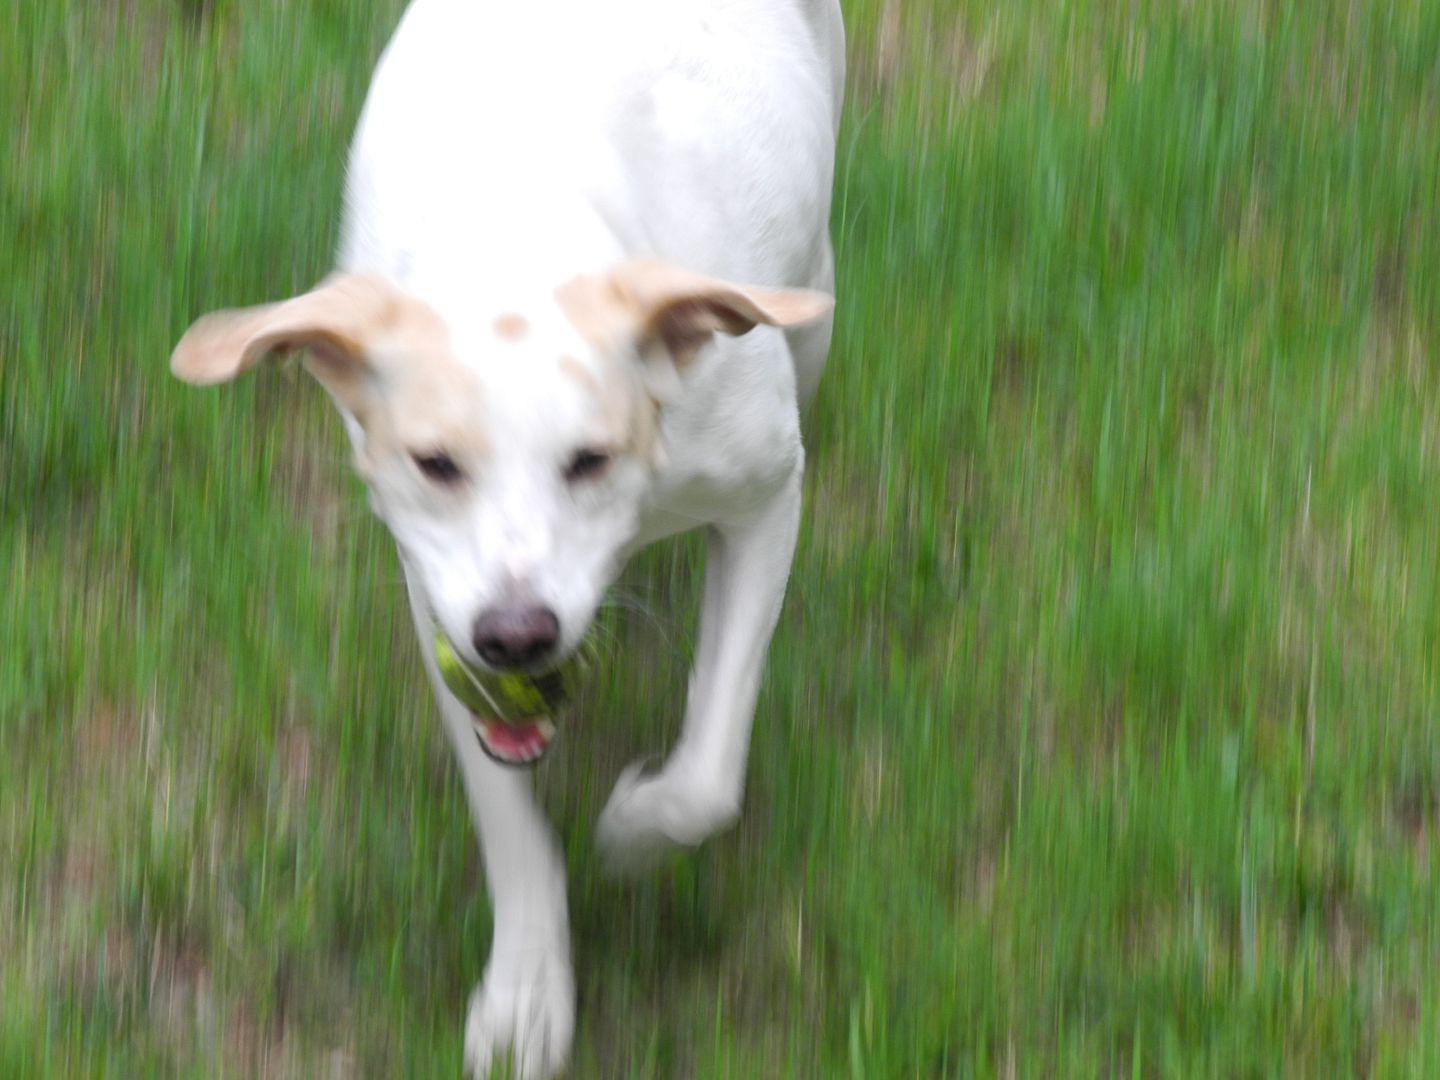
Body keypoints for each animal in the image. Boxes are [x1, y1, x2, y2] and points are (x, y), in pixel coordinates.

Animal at [168, 0, 840, 1077]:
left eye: (592, 459)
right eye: (436, 464)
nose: (519, 634)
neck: (518, 223)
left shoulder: (765, 492)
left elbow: (704, 775)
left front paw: (632, 830)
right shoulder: (437, 593)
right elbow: (507, 814)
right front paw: (528, 986)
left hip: (811, 278)